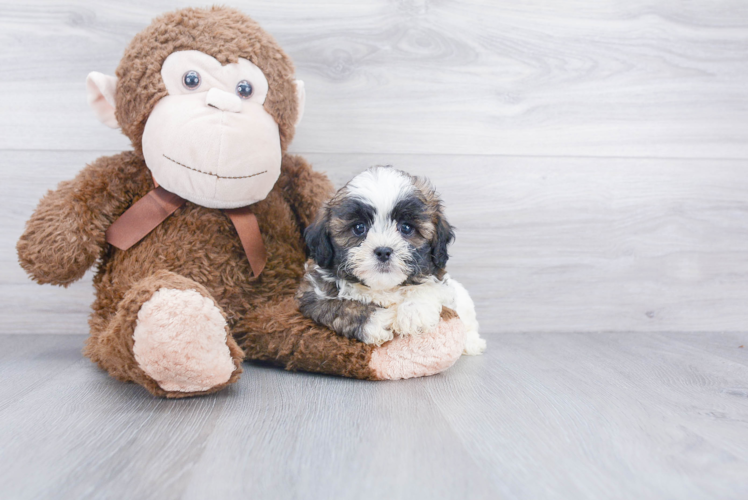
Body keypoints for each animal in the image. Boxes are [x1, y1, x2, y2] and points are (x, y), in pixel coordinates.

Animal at [296, 167, 486, 356]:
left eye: (406, 228)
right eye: (359, 228)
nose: (383, 251)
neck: (384, 288)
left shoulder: (441, 281)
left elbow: (429, 287)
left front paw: (413, 313)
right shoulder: (311, 294)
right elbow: (337, 306)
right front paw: (377, 321)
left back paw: (472, 343)